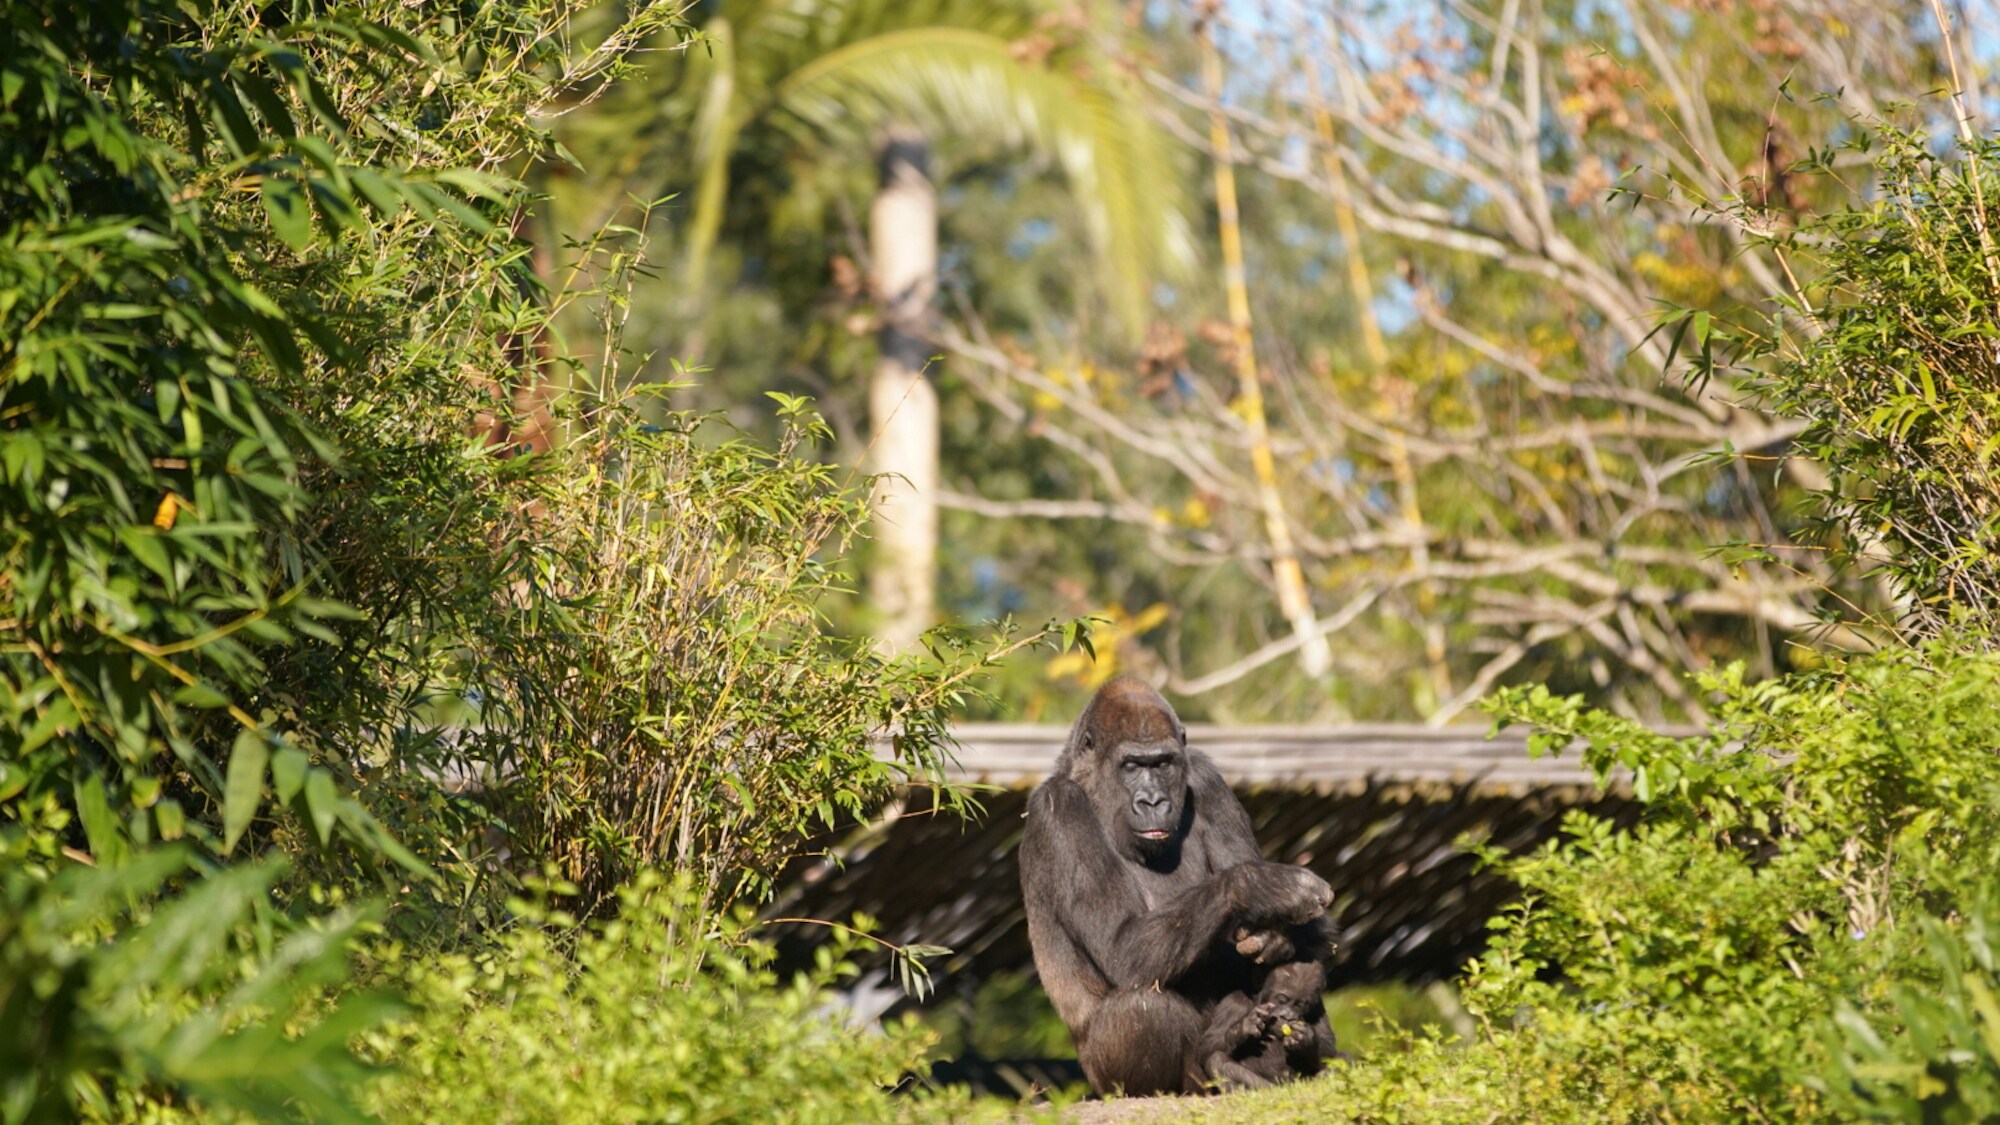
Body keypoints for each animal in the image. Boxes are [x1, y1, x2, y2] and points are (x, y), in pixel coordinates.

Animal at [1192, 952, 1336, 1088]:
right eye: (1282, 1000)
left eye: (1299, 1005)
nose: (1287, 1016)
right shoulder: (1234, 1003)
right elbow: (1208, 1047)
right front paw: (1243, 1028)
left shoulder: (1318, 1007)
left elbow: (1329, 1050)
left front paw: (1306, 1039)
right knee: (1217, 1061)